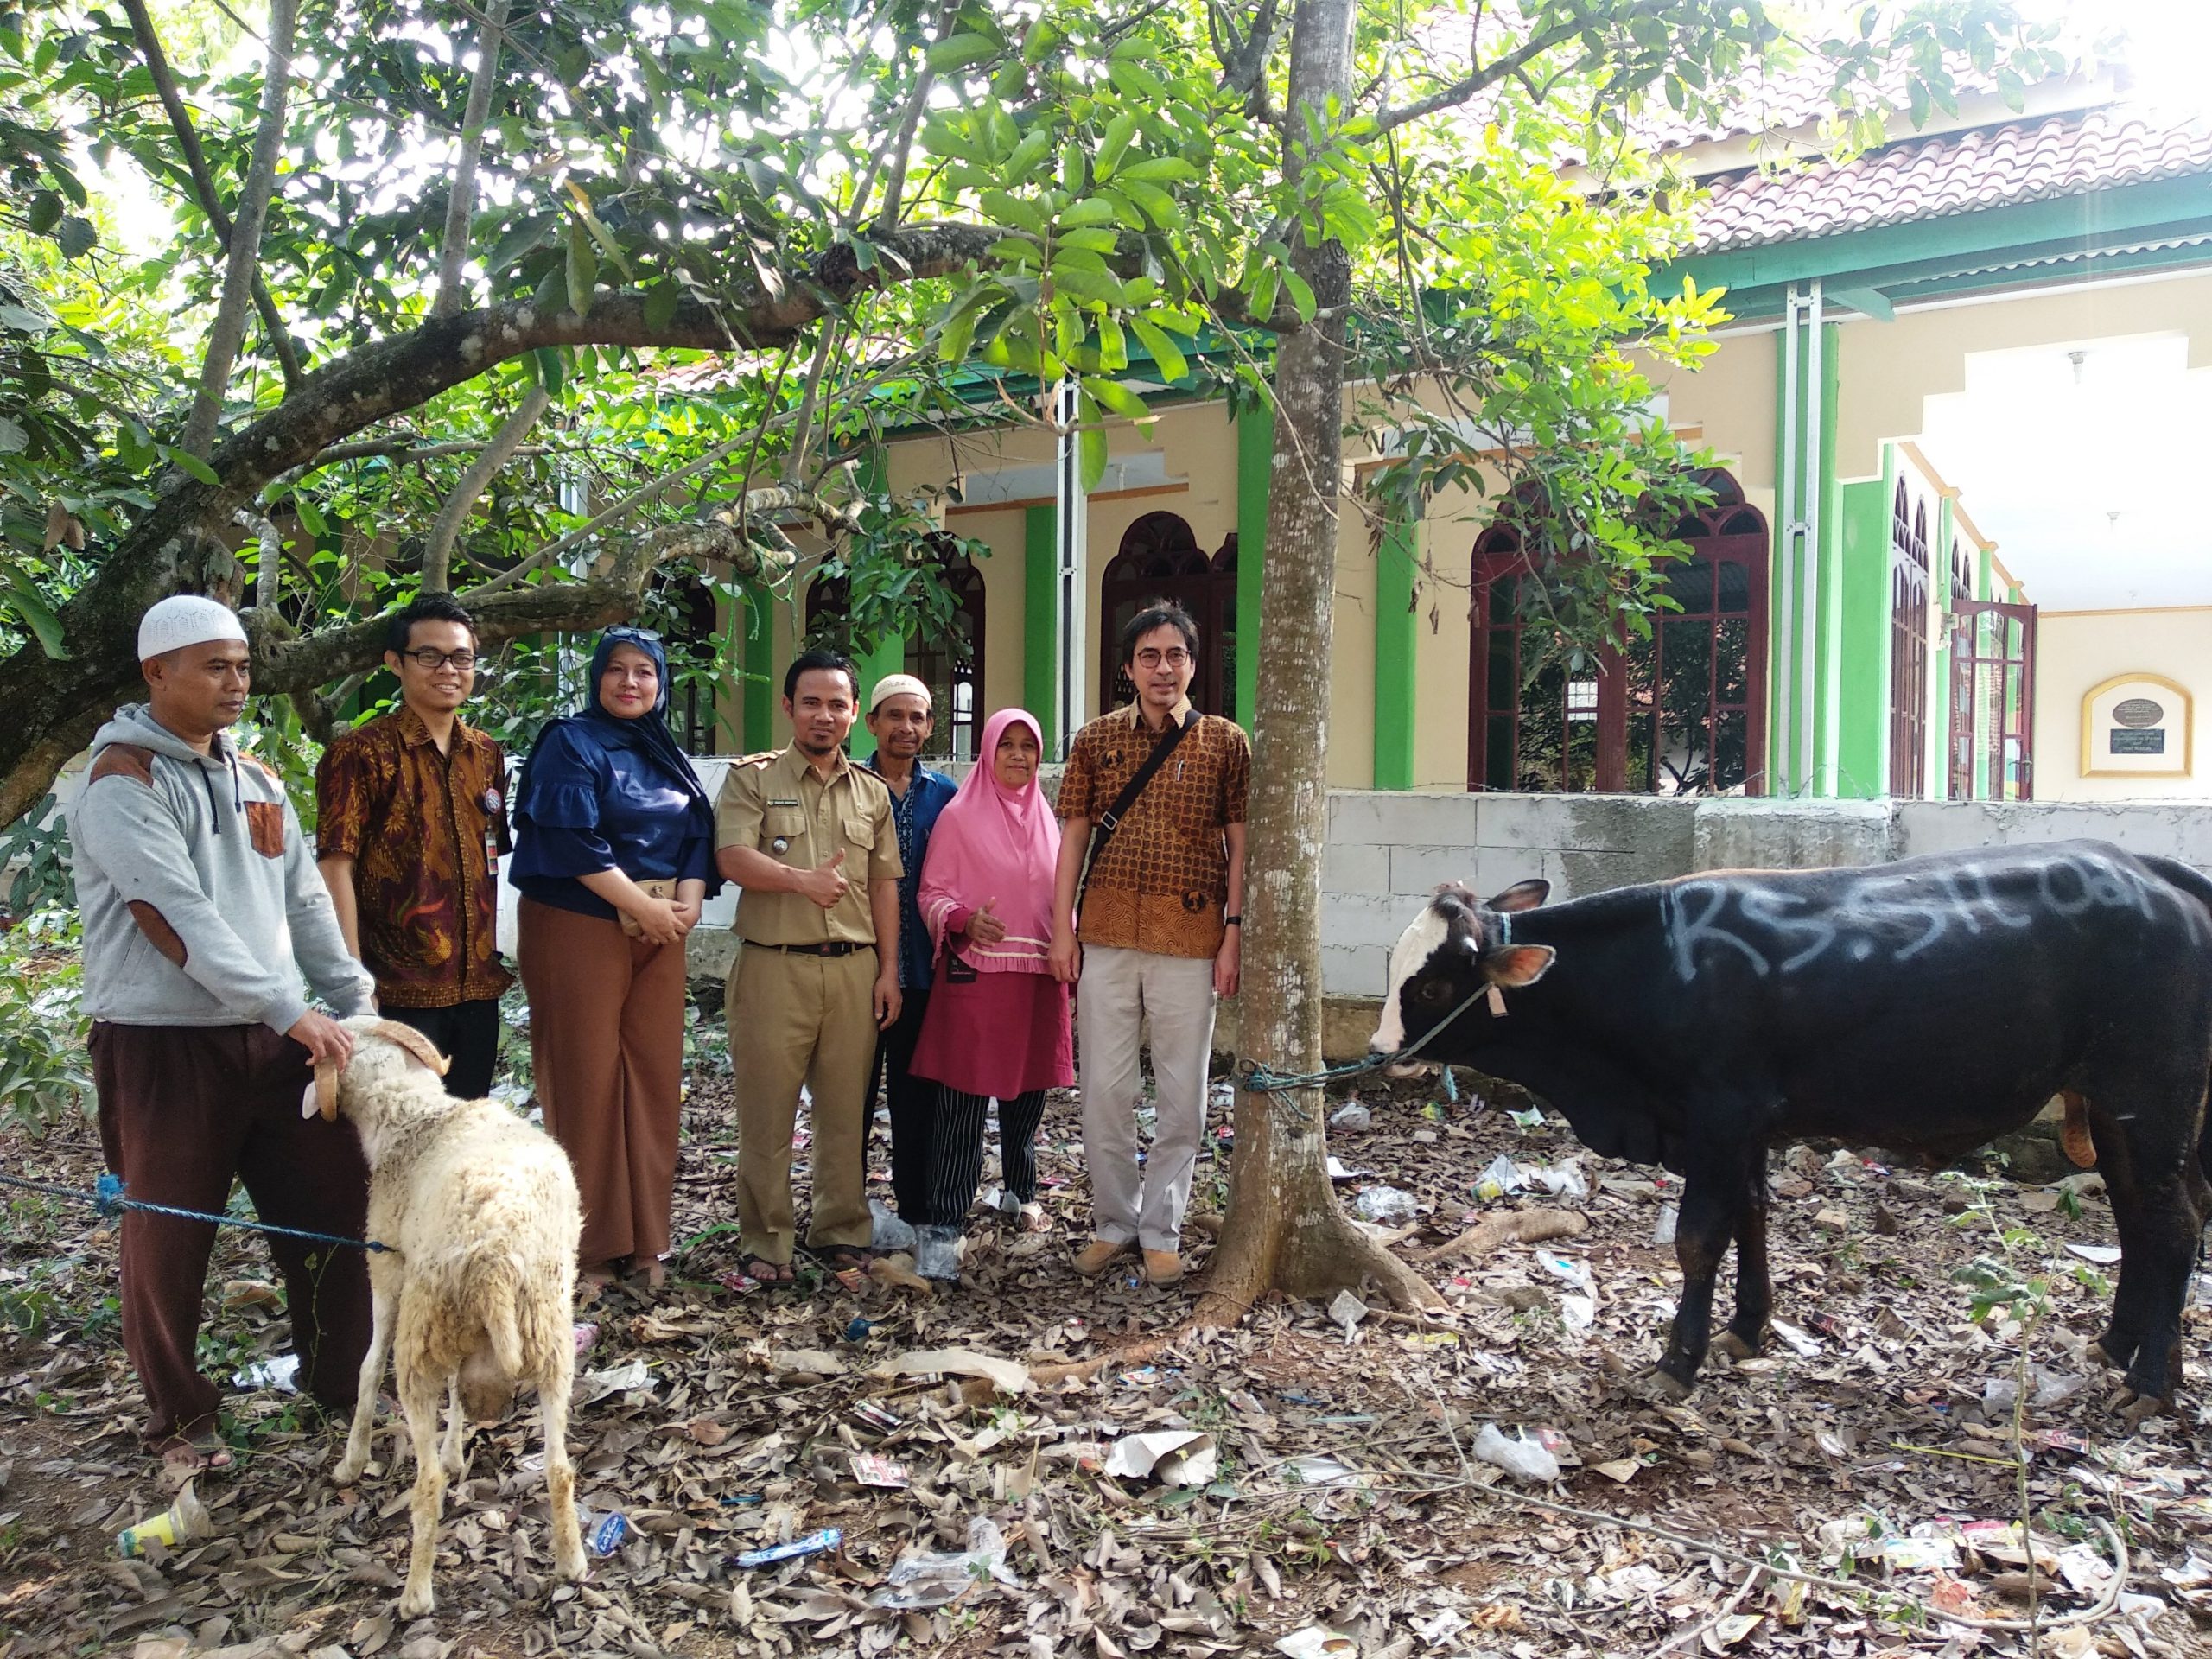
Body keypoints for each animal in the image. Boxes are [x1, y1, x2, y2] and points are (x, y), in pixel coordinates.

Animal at [311, 1021, 593, 1618]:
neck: (415, 1117)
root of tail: (495, 1259)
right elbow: (462, 1389)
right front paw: (458, 1449)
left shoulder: (386, 1271)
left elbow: (368, 1367)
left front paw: (353, 1458)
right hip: (549, 1340)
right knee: (559, 1468)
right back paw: (571, 1562)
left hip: (421, 1339)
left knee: (426, 1482)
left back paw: (416, 1595)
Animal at [1371, 844, 2202, 1415]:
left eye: (1434, 985)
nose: (1380, 1053)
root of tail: (2148, 870)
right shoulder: (1741, 1128)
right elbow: (1751, 1216)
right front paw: (1745, 1327)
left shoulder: (1720, 1115)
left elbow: (1699, 1237)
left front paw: (1677, 1363)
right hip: (2112, 1107)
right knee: (2136, 1215)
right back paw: (2118, 1345)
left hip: (2151, 1098)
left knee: (2176, 1225)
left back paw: (2150, 1380)